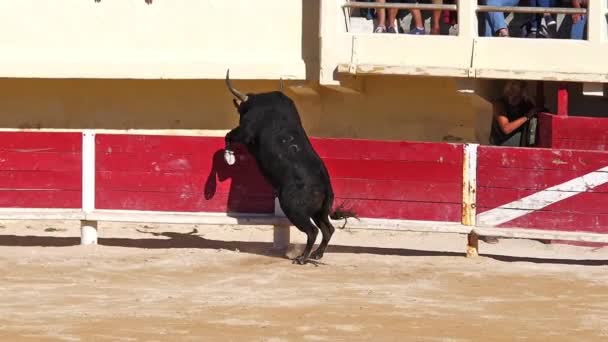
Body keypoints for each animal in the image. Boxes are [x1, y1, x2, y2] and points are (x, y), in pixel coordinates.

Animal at [223, 70, 356, 264]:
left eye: (241, 111)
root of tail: (325, 187)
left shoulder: (245, 130)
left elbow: (229, 136)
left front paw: (228, 157)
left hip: (293, 209)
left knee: (313, 231)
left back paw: (302, 258)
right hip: (319, 212)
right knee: (327, 229)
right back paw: (316, 254)